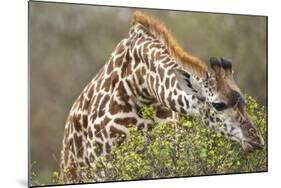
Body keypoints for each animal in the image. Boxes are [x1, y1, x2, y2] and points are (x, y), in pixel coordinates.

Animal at [58, 11, 262, 183]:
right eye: (218, 104)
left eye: (244, 102)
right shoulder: (104, 163)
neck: (141, 88)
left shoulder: (166, 158)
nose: (257, 140)